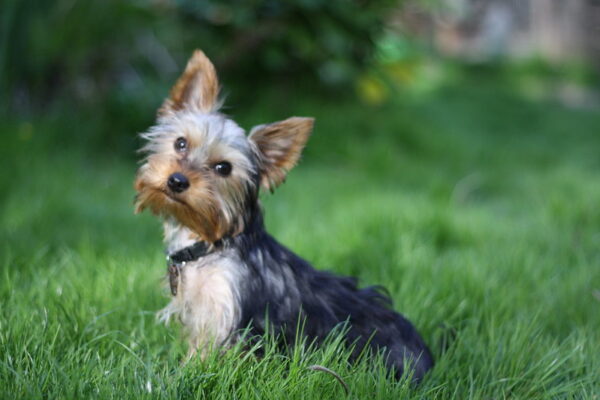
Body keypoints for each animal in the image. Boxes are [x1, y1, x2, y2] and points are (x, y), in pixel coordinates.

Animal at [135, 48, 436, 380]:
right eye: (180, 143)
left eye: (223, 168)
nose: (177, 181)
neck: (210, 240)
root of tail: (426, 357)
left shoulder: (227, 317)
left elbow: (207, 358)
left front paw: (183, 376)